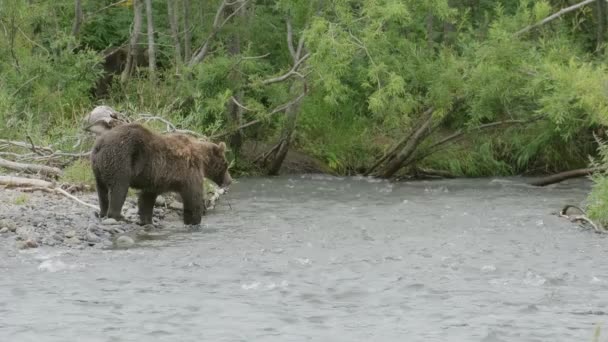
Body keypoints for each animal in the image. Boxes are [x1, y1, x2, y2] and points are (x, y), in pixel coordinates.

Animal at [90, 122, 233, 224]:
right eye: (226, 165)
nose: (230, 181)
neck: (203, 160)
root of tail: (100, 144)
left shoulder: (155, 179)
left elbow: (147, 198)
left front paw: (146, 220)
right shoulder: (189, 171)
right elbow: (193, 197)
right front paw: (194, 220)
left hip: (98, 169)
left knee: (102, 191)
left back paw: (103, 212)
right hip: (120, 159)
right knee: (119, 189)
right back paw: (117, 216)